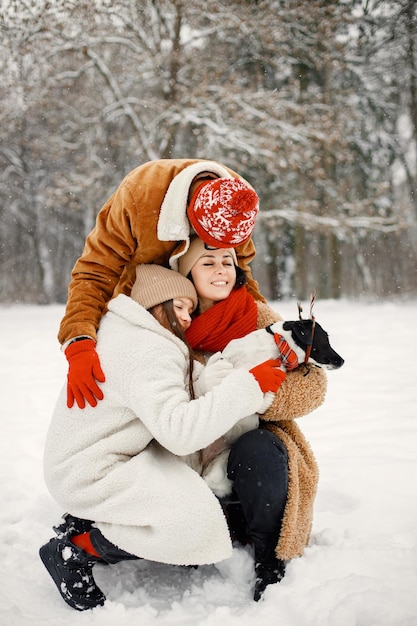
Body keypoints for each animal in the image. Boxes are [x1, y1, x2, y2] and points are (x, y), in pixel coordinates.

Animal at [198, 316, 344, 498]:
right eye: (325, 338)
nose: (342, 361)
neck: (278, 348)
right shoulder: (228, 356)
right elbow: (222, 366)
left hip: (218, 470)